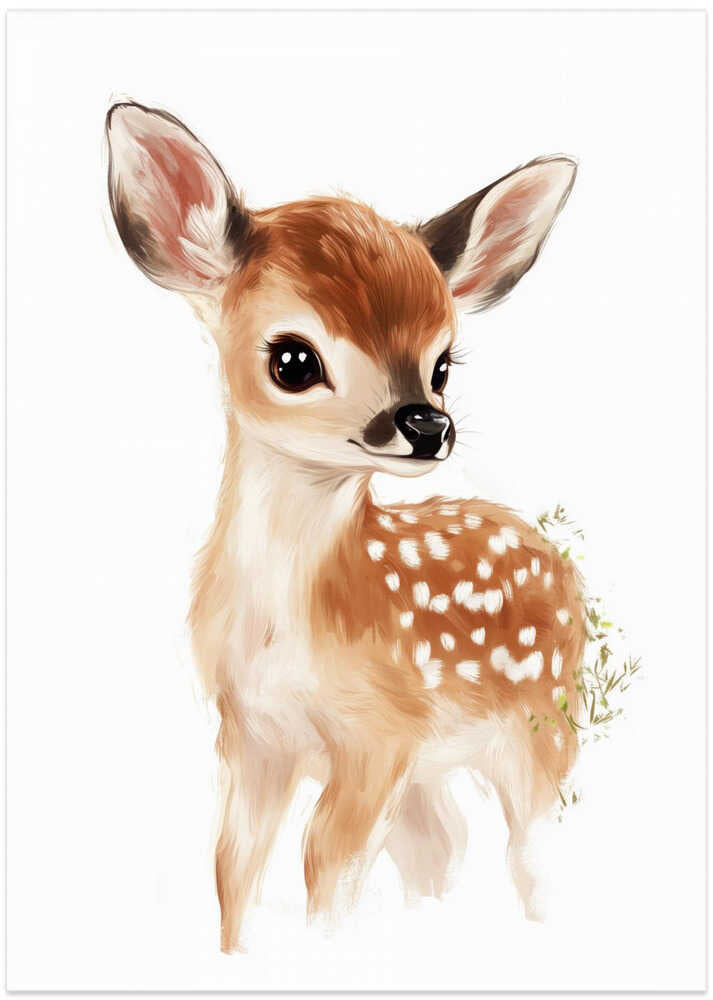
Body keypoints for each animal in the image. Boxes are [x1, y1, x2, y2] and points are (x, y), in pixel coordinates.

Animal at [105, 101, 585, 953]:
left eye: (442, 364)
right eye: (293, 360)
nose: (426, 424)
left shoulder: (378, 734)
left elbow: (323, 869)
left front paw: (322, 948)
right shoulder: (250, 736)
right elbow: (233, 869)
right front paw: (236, 954)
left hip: (543, 725)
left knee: (532, 853)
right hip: (439, 762)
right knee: (443, 845)